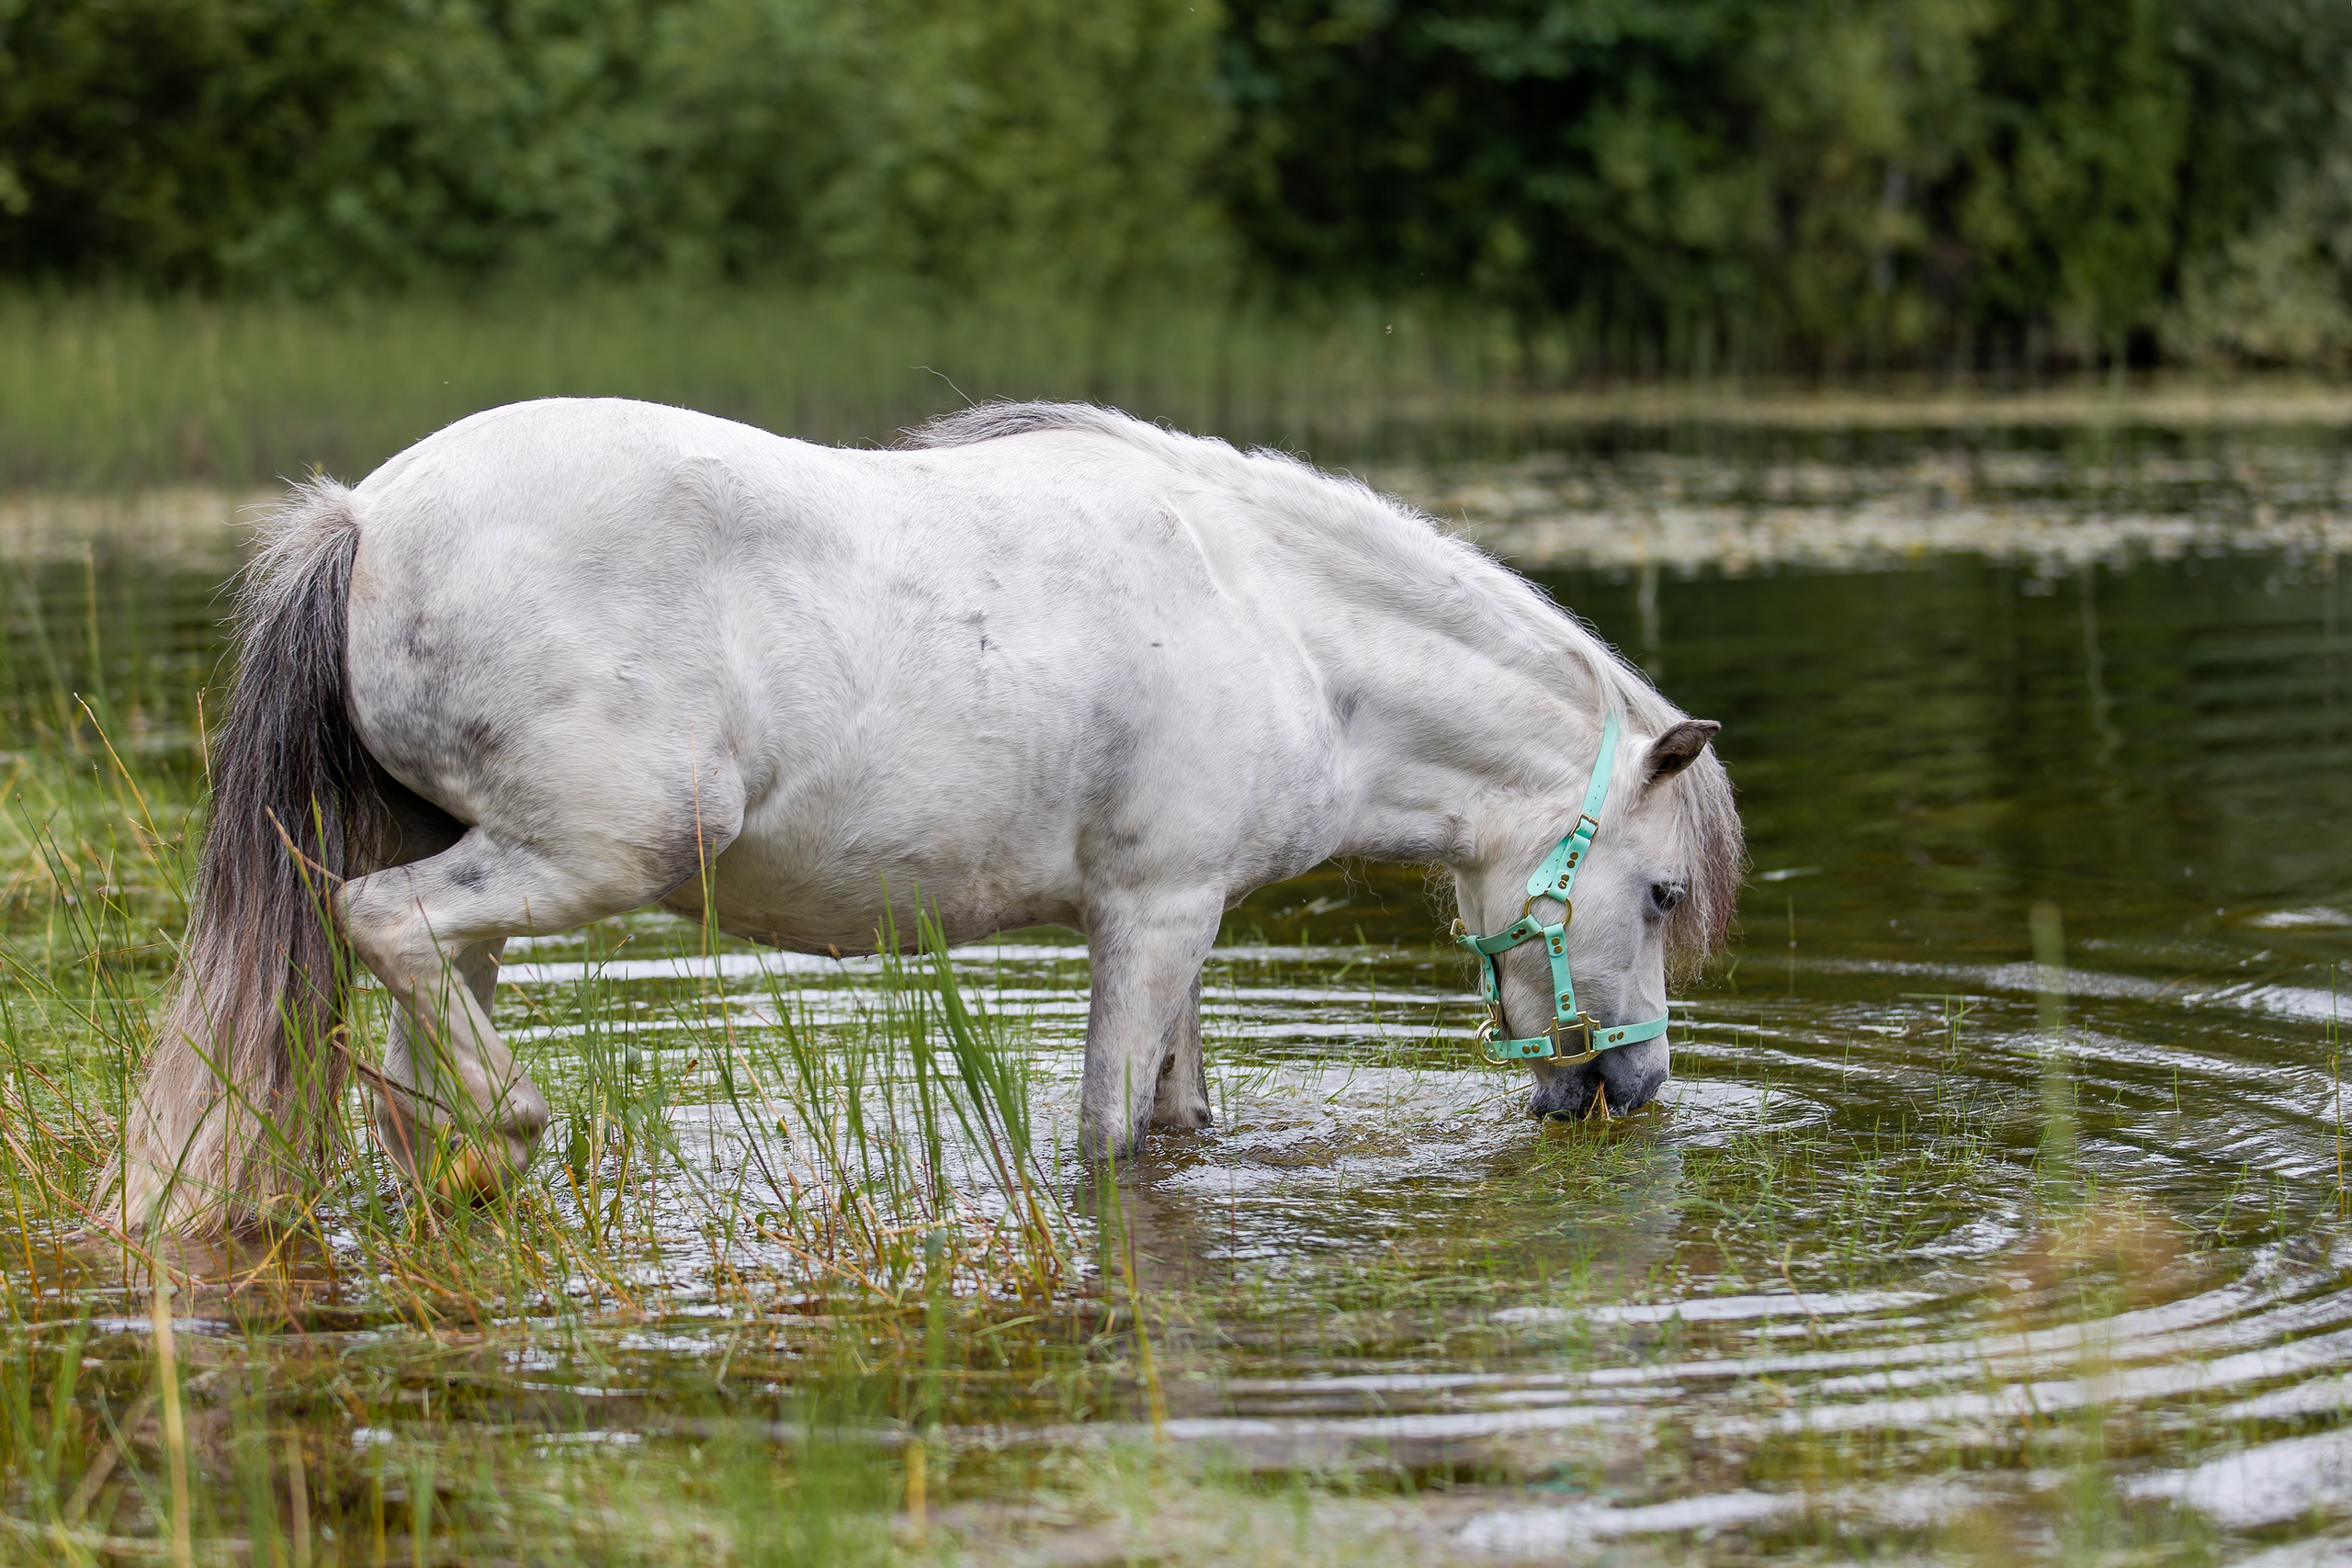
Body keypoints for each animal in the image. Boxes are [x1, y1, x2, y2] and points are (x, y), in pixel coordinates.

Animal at [111, 398, 1743, 1235]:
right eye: (1662, 895)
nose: (1632, 1085)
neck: (1279, 618)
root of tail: (365, 518)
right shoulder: (1150, 913)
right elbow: (1106, 1137)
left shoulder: (1183, 915)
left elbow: (1180, 1117)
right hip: (580, 858)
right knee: (382, 932)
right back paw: (515, 1122)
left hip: (488, 880)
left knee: (406, 1059)